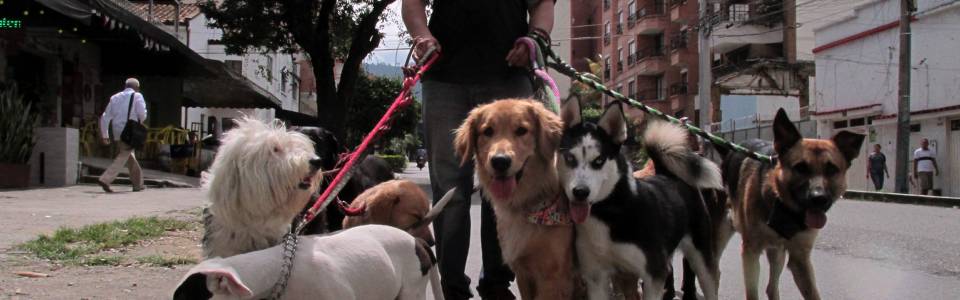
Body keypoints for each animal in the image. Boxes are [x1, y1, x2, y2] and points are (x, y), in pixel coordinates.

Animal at [560, 98, 724, 300]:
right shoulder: (596, 277)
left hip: (700, 256)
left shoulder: (653, 275)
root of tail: (668, 174)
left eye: (599, 161)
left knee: (710, 279)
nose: (580, 192)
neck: (609, 212)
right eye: (569, 158)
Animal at [720, 108, 864, 300]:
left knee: (771, 287)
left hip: (778, 253)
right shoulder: (750, 252)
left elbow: (813, 293)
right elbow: (752, 293)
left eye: (832, 169)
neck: (781, 205)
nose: (819, 198)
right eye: (800, 167)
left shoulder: (800, 259)